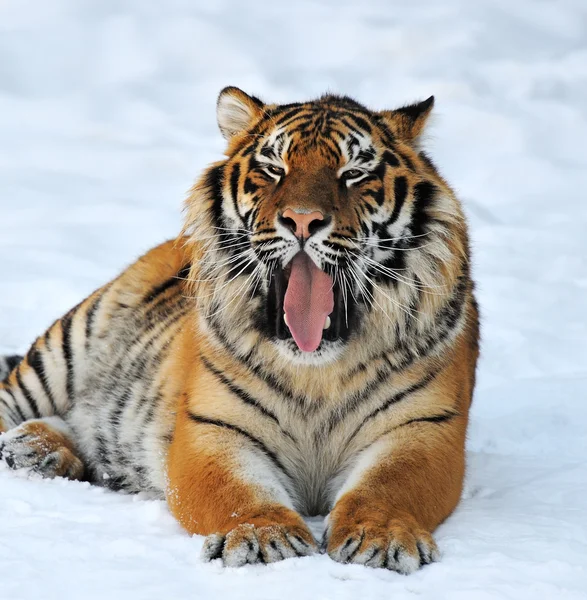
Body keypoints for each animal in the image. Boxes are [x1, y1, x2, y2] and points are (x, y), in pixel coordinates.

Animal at [0, 88, 478, 572]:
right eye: (274, 169)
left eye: (353, 174)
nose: (302, 220)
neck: (316, 370)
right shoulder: (211, 428)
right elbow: (236, 492)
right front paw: (265, 536)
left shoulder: (423, 427)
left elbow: (387, 486)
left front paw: (377, 537)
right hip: (66, 345)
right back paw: (31, 446)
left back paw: (43, 450)